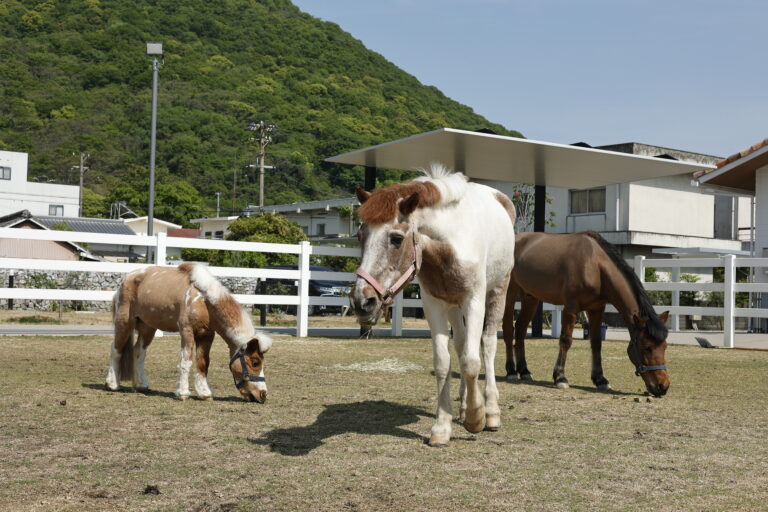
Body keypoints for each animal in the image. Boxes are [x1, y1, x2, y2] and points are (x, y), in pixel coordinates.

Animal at [105, 263, 273, 402]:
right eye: (255, 362)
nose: (263, 395)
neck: (203, 301)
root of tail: (126, 279)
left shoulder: (207, 335)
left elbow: (203, 363)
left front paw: (204, 393)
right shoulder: (187, 331)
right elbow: (186, 362)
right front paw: (183, 393)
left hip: (148, 327)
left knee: (139, 352)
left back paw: (141, 384)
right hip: (124, 323)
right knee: (115, 349)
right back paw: (112, 384)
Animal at [349, 163, 516, 447]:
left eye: (396, 239)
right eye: (360, 235)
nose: (363, 301)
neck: (450, 244)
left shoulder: (474, 300)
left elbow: (472, 361)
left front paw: (477, 417)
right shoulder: (434, 304)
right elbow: (443, 363)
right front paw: (442, 426)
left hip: (497, 292)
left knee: (487, 345)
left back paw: (491, 411)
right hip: (453, 306)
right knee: (460, 345)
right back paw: (464, 407)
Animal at [501, 231, 670, 397]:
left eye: (665, 347)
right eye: (646, 347)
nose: (663, 386)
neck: (595, 266)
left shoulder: (596, 309)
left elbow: (596, 343)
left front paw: (600, 379)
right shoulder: (571, 309)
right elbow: (566, 340)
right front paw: (560, 377)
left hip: (530, 297)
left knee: (521, 329)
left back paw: (524, 371)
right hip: (509, 294)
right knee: (509, 330)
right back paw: (511, 371)